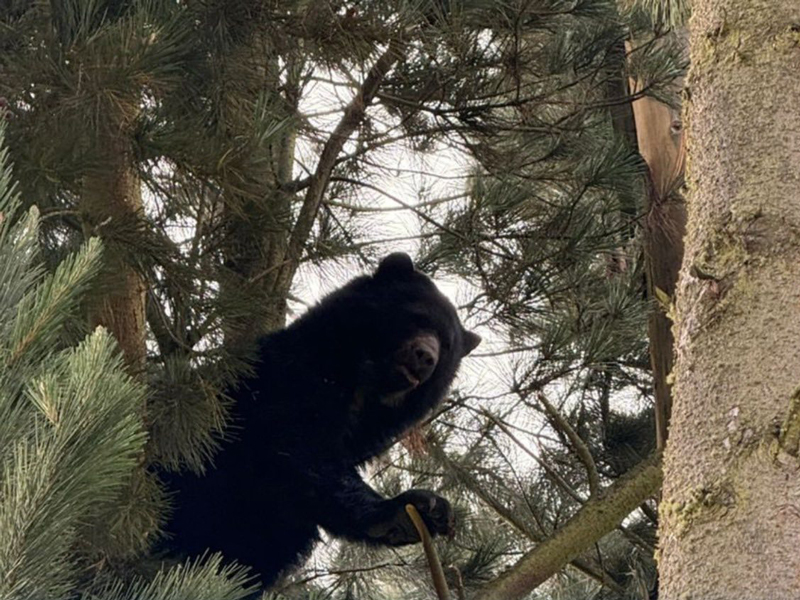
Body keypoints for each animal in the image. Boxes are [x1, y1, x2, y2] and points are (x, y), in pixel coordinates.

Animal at [165, 252, 481, 586]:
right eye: (417, 318)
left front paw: (429, 513)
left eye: (447, 345)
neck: (364, 387)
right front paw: (399, 509)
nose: (426, 357)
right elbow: (302, 449)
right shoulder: (290, 380)